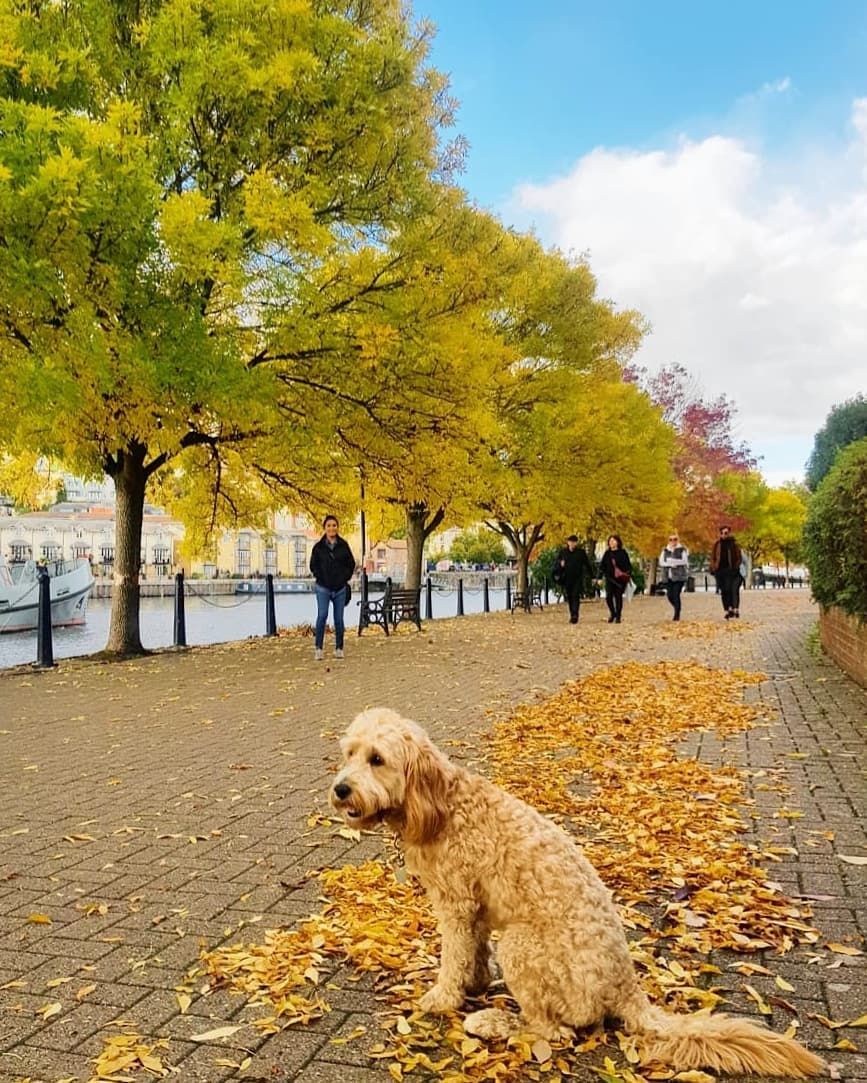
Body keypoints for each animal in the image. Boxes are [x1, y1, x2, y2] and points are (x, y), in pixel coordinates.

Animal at [331, 710, 826, 1074]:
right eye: (349, 753)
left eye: (377, 759)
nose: (340, 789)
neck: (441, 803)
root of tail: (628, 988)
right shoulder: (476, 909)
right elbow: (473, 952)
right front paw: (475, 982)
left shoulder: (456, 904)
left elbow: (453, 957)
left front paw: (444, 997)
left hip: (522, 944)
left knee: (552, 1031)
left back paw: (492, 1021)